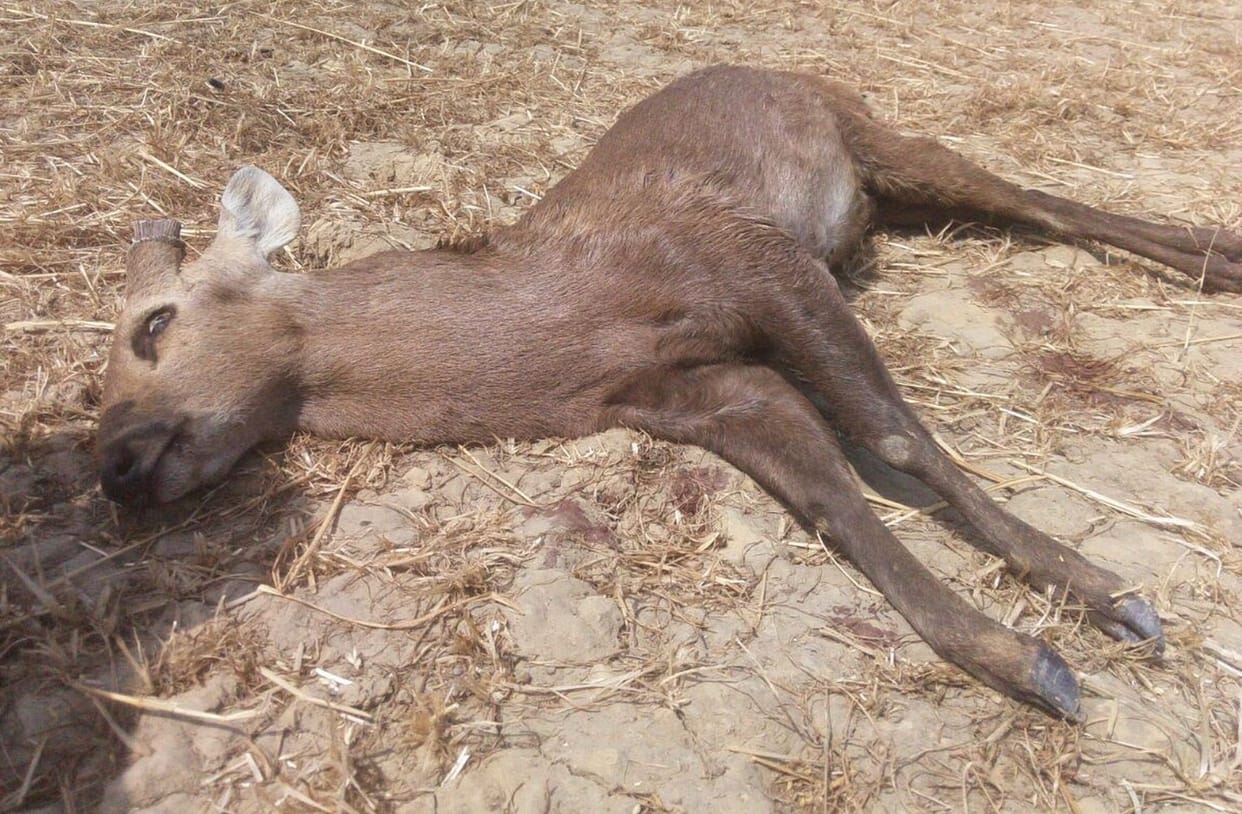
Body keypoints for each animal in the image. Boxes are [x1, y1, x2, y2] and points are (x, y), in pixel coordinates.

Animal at [97, 65, 1242, 719]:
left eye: (153, 322)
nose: (114, 463)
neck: (567, 333)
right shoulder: (697, 391)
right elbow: (831, 502)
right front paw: (1028, 663)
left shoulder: (756, 261)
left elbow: (896, 438)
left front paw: (1111, 595)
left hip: (873, 130)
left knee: (1041, 200)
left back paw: (1216, 254)